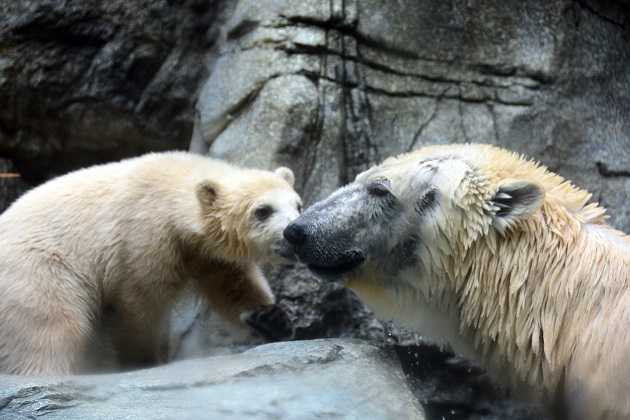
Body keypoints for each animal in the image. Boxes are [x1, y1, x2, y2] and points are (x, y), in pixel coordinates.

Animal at [0, 153, 302, 376]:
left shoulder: (208, 254)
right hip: (37, 268)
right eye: (262, 211)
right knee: (53, 328)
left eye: (297, 205)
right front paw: (144, 359)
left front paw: (271, 319)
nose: (293, 232)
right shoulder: (144, 236)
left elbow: (234, 284)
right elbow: (142, 302)